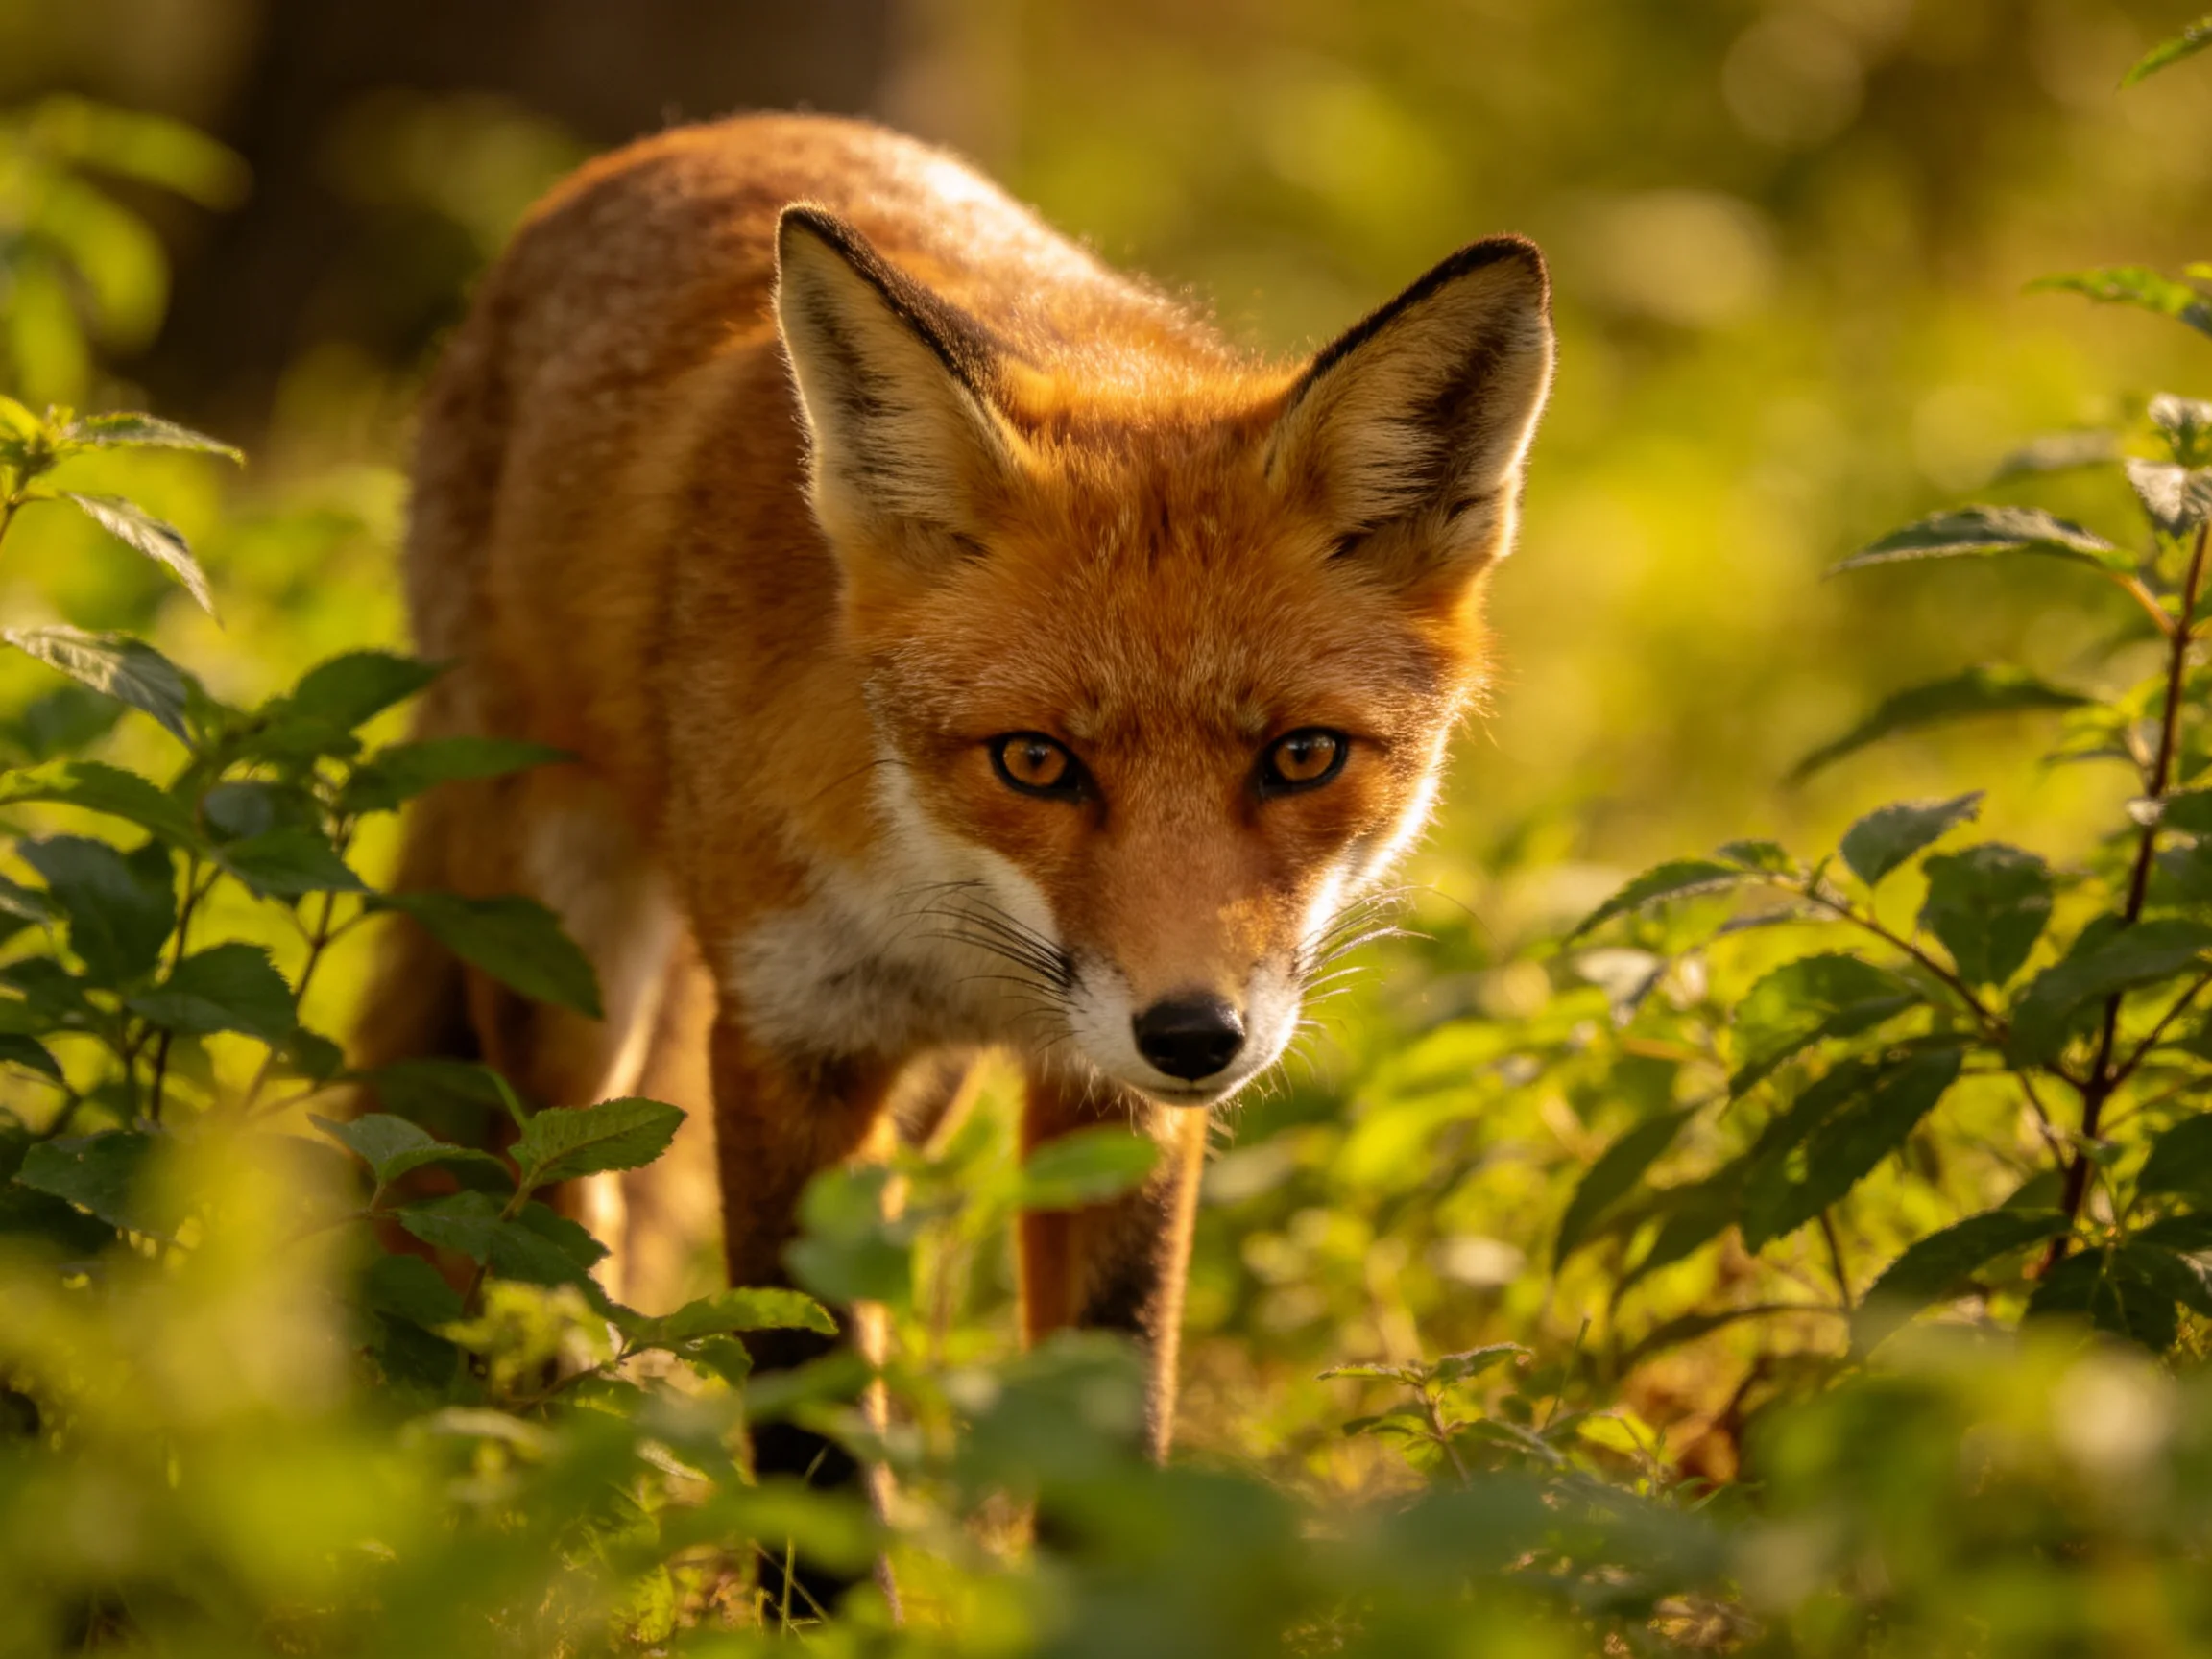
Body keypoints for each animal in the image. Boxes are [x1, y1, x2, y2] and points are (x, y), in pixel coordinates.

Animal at [359, 112, 1554, 1469]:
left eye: (1303, 756)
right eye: (1034, 761)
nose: (1194, 1036)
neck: (937, 901)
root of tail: (688, 138)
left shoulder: (1105, 1097)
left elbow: (1112, 1410)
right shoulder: (790, 1036)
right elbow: (809, 1430)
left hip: (918, 1100)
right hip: (567, 970)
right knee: (545, 1217)